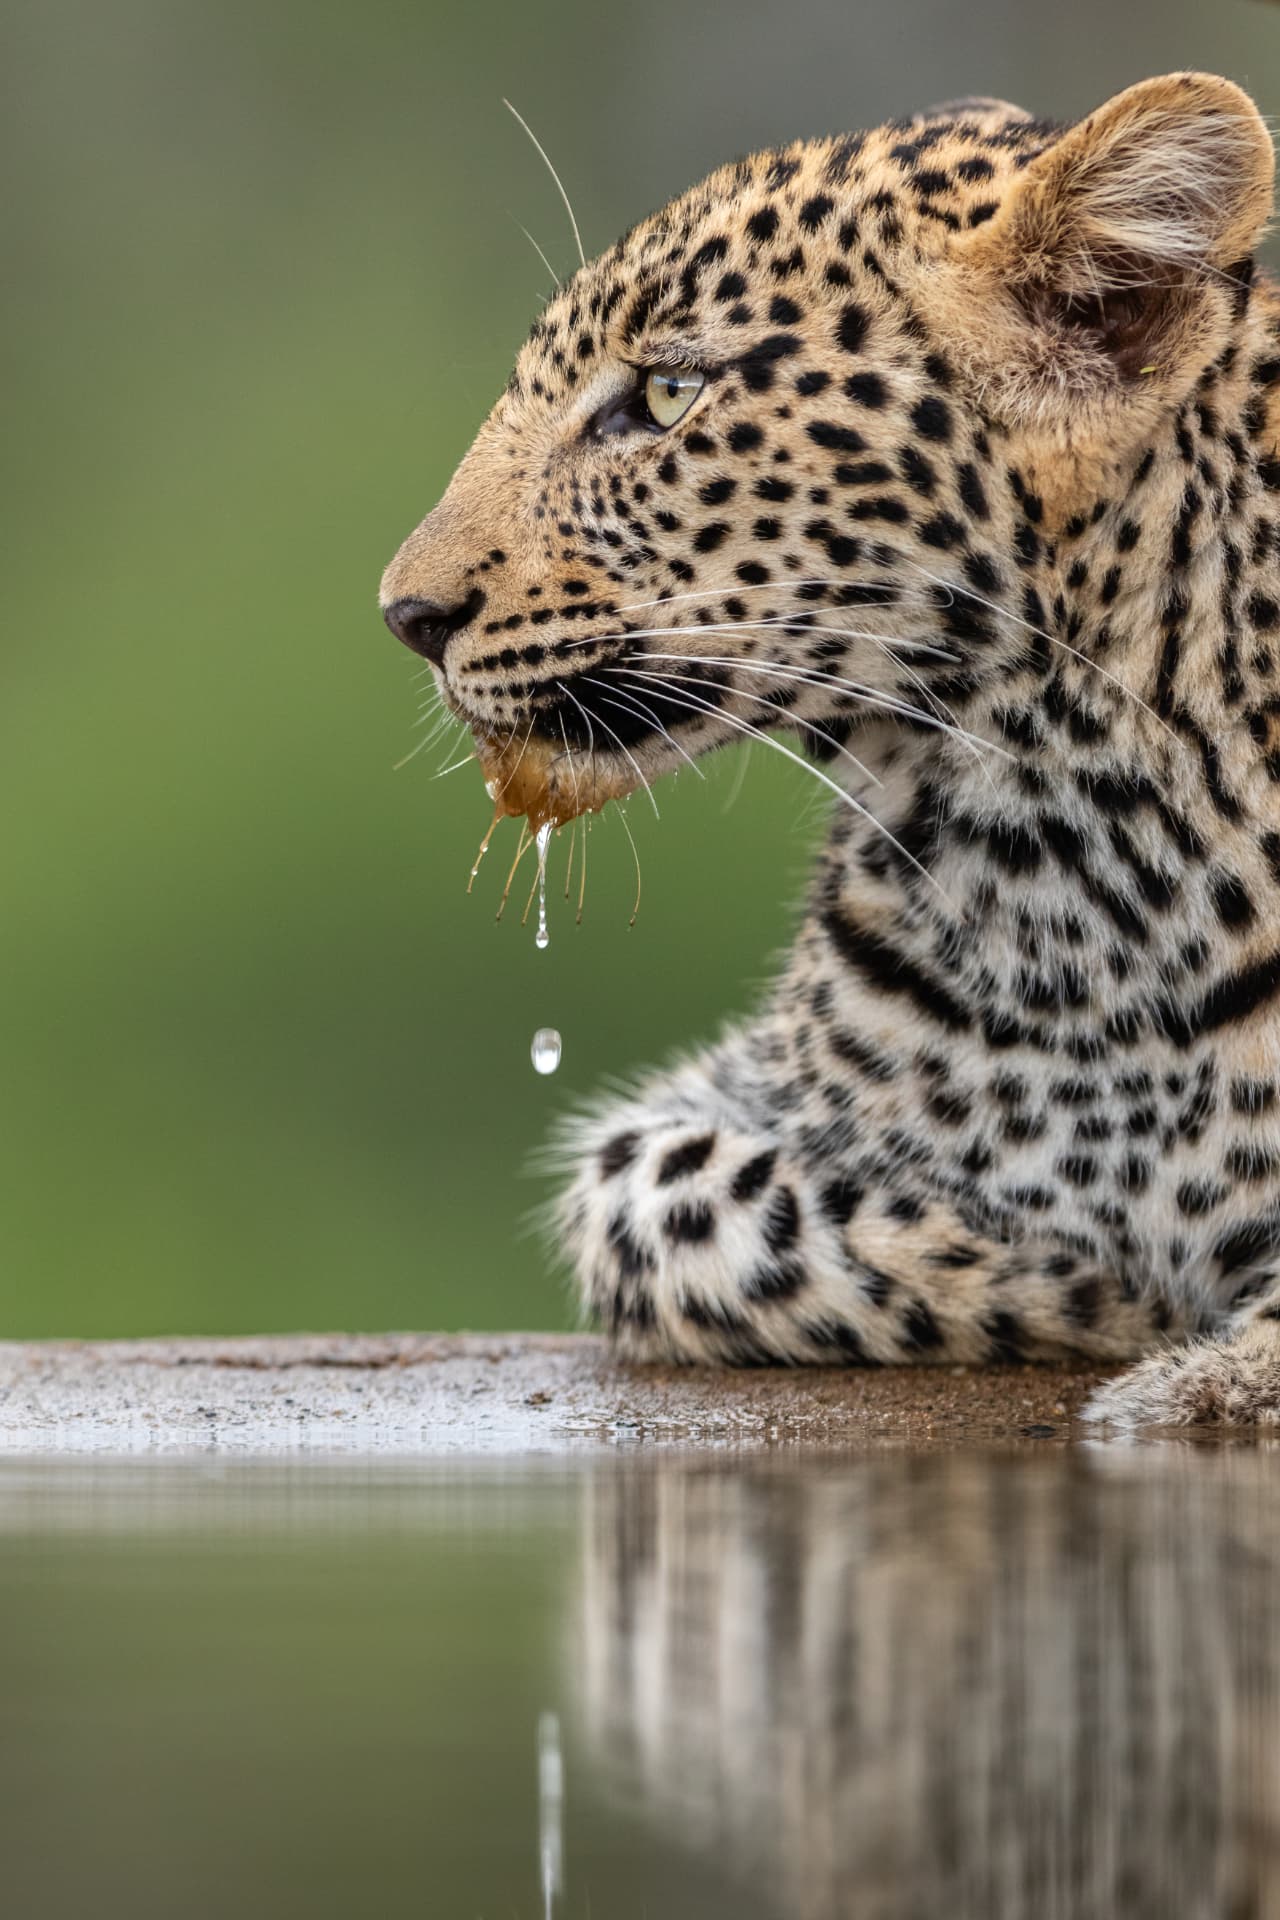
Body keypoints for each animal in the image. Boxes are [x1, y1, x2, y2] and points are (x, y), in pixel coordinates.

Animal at [380, 72, 1280, 1427]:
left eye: (666, 397)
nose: (404, 616)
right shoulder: (718, 1107)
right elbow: (658, 1203)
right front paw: (1091, 1284)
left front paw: (1203, 1368)